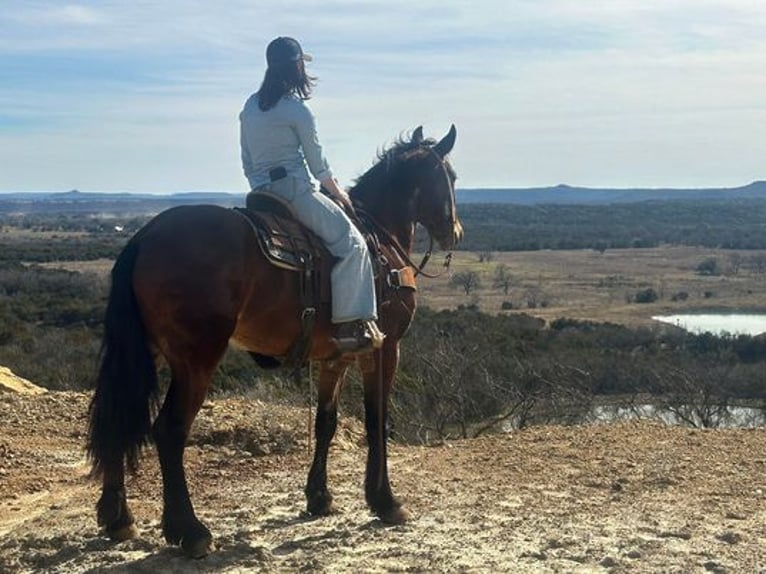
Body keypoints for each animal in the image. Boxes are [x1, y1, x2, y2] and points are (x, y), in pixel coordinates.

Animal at [88, 125, 464, 560]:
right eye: (451, 176)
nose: (454, 231)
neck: (381, 239)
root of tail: (145, 237)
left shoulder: (336, 356)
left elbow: (326, 422)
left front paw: (319, 497)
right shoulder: (385, 348)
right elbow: (376, 420)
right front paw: (385, 501)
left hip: (147, 352)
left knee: (118, 415)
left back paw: (118, 519)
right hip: (196, 359)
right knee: (169, 430)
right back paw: (191, 531)